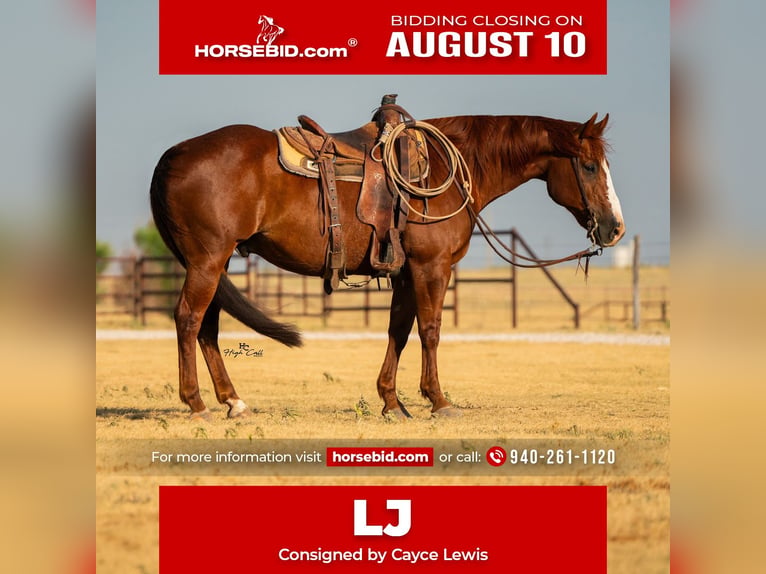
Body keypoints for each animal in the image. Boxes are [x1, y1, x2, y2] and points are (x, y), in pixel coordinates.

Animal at [149, 110, 625, 420]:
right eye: (588, 166)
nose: (614, 227)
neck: (446, 169)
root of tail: (172, 155)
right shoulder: (432, 268)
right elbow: (430, 330)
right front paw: (438, 400)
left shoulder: (405, 274)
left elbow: (399, 329)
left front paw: (392, 401)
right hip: (207, 261)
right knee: (189, 319)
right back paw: (196, 403)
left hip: (215, 263)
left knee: (207, 327)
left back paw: (232, 401)